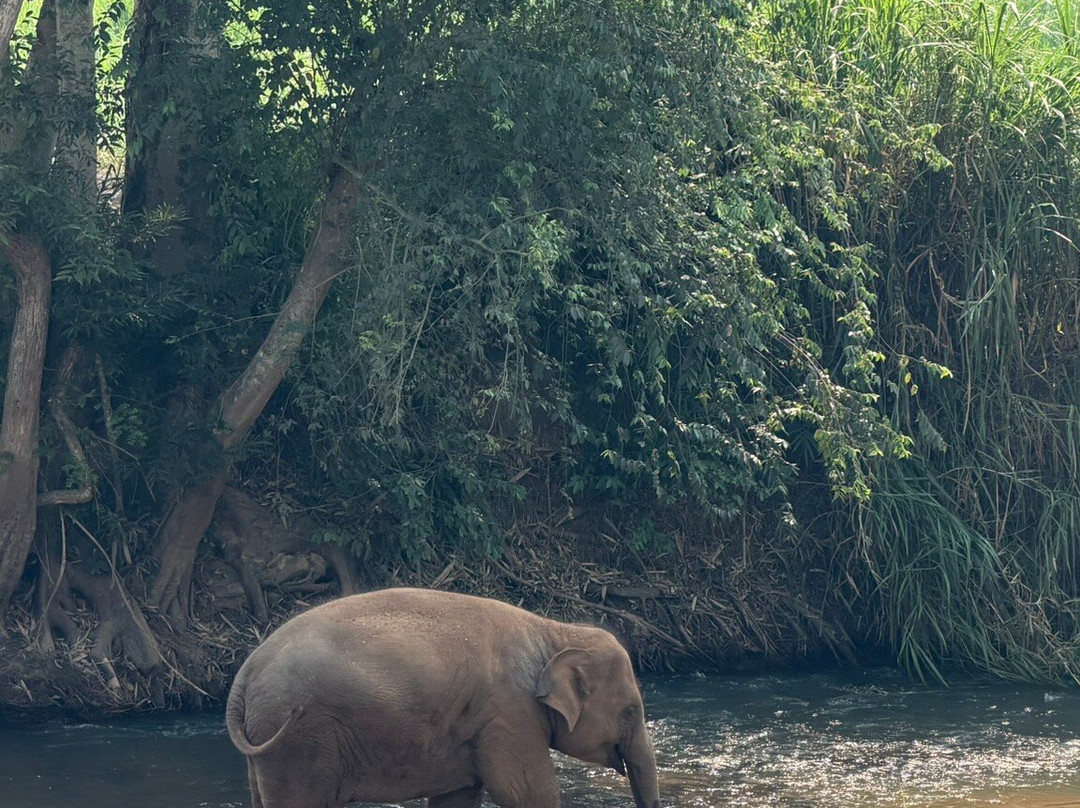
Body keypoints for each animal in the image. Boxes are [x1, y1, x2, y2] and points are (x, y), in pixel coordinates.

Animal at [226, 587, 661, 808]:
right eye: (630, 711)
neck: (554, 631)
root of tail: (243, 674)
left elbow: (458, 797)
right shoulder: (510, 716)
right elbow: (528, 793)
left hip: (268, 743)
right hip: (299, 737)